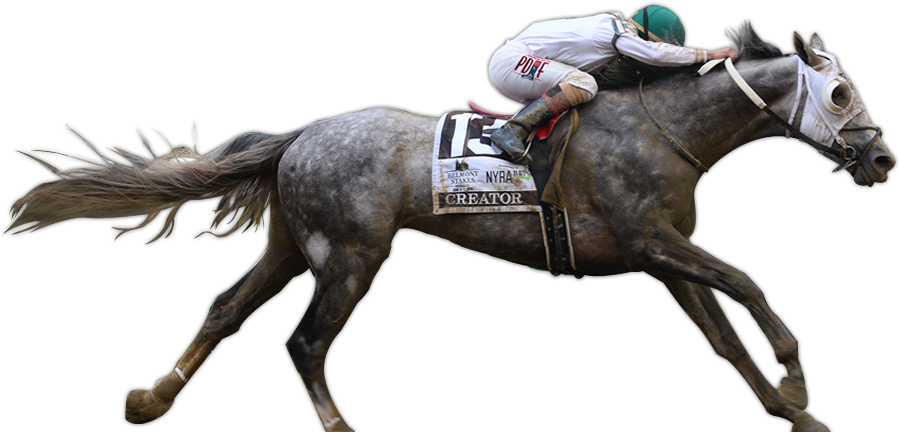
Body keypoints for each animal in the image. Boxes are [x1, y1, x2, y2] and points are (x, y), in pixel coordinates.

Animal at [5, 25, 892, 431]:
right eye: (840, 93)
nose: (882, 159)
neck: (662, 127)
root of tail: (300, 135)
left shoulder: (661, 258)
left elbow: (723, 339)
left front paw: (791, 411)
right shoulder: (652, 242)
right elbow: (748, 284)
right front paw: (797, 385)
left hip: (293, 244)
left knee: (225, 309)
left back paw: (153, 397)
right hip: (351, 253)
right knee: (304, 341)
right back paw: (336, 425)